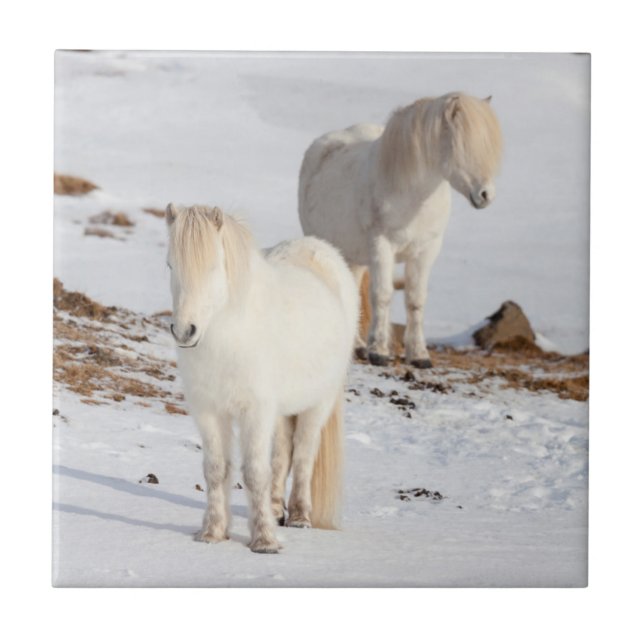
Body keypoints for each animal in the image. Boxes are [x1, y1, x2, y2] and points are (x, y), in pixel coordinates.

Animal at [165, 203, 358, 554]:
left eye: (213, 267)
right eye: (170, 264)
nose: (185, 331)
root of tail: (321, 250)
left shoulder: (255, 412)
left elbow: (255, 472)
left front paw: (264, 541)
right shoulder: (208, 411)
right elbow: (216, 470)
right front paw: (213, 533)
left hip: (318, 404)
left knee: (304, 452)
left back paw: (299, 516)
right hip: (281, 411)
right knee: (282, 454)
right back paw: (275, 508)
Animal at [299, 92, 502, 368]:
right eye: (462, 145)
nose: (486, 195)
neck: (413, 196)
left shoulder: (426, 251)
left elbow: (415, 300)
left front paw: (419, 355)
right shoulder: (382, 246)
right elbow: (382, 295)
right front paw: (379, 352)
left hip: (355, 257)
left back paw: (357, 346)